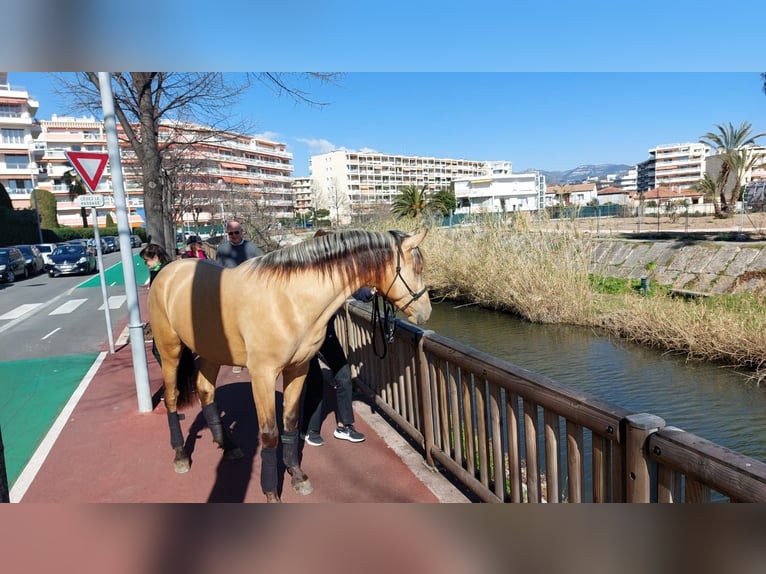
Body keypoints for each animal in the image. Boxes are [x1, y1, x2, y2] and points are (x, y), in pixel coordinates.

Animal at [147, 230, 428, 504]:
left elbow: (290, 423)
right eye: (417, 267)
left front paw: (297, 476)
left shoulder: (298, 369)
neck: (288, 300)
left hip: (211, 353)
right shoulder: (262, 375)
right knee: (171, 397)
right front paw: (271, 492)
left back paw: (228, 446)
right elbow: (270, 433)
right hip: (170, 350)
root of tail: (169, 272)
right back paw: (180, 455)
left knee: (206, 392)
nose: (425, 312)